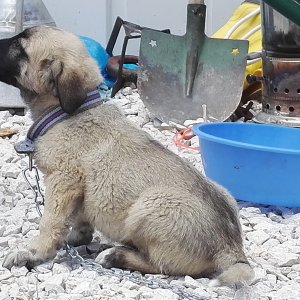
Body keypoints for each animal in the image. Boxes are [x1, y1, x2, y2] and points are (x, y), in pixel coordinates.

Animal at [0, 25, 253, 286]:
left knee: (162, 265)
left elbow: (49, 221)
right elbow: (79, 218)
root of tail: (231, 248)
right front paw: (75, 238)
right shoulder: (78, 188)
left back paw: (115, 255)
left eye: (19, 45)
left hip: (150, 205)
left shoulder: (63, 180)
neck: (67, 113)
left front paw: (33, 252)